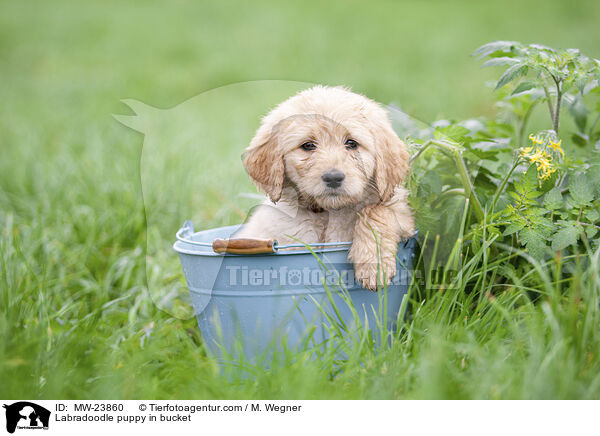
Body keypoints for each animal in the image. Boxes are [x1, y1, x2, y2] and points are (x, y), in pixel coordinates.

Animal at [234, 85, 412, 290]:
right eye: (308, 145)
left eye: (351, 143)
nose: (333, 178)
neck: (329, 213)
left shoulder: (403, 214)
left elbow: (376, 211)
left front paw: (373, 264)